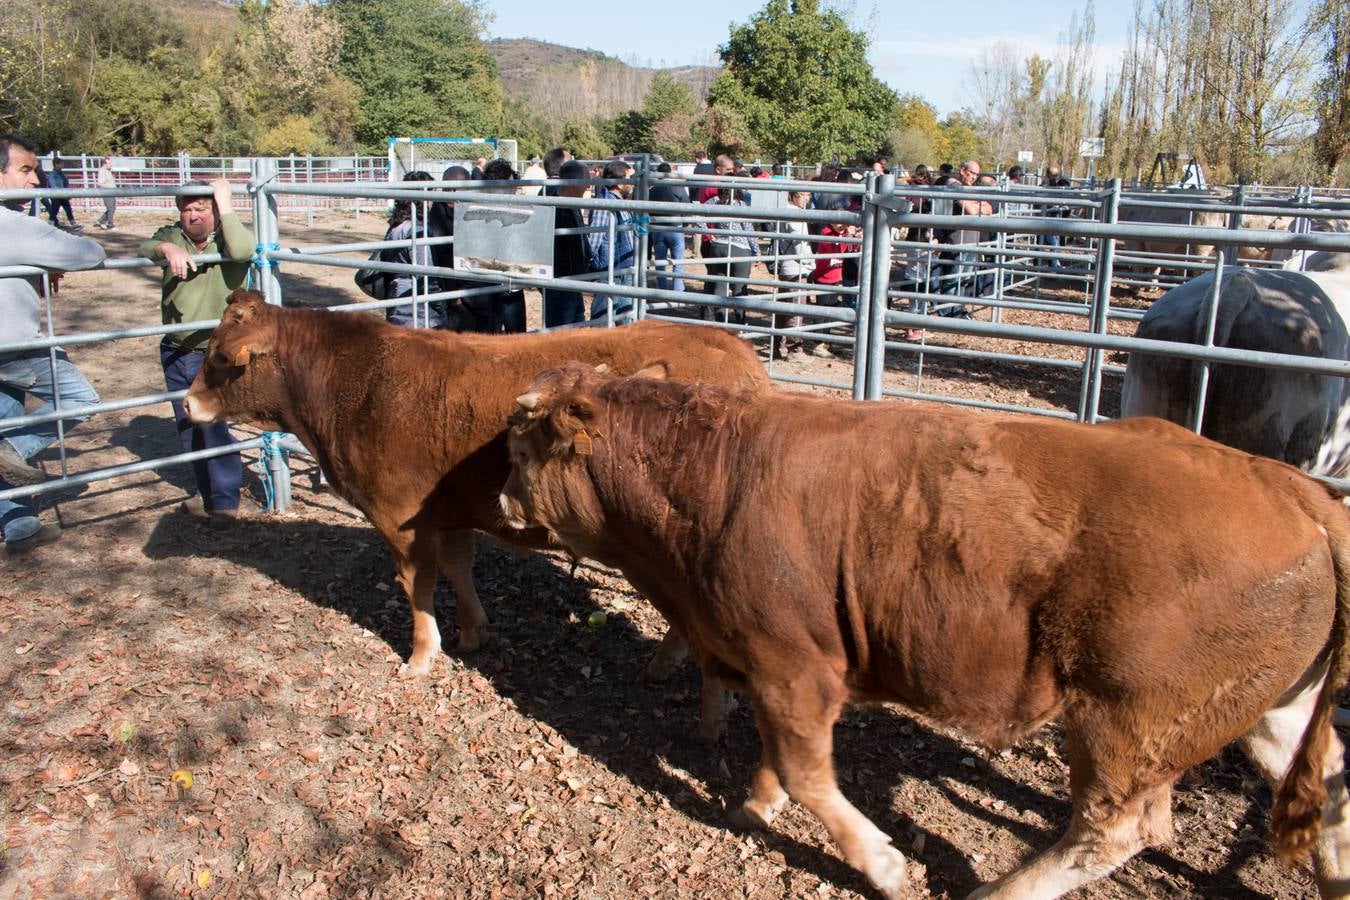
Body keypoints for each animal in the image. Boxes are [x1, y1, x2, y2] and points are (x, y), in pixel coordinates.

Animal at [183, 292, 772, 685]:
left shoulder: (397, 516)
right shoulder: (449, 511)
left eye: (219, 358)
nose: (187, 404)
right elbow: (457, 567)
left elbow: (418, 584)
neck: (356, 383)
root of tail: (733, 349)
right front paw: (473, 631)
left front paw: (421, 654)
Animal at [502, 361, 1350, 900]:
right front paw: (754, 805)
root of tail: (1291, 488)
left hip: (1126, 722)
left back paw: (1000, 894)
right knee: (1333, 789)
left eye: (519, 444)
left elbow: (809, 772)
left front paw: (881, 864)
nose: (505, 498)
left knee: (1112, 829)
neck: (709, 472)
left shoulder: (794, 666)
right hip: (1272, 710)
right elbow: (780, 762)